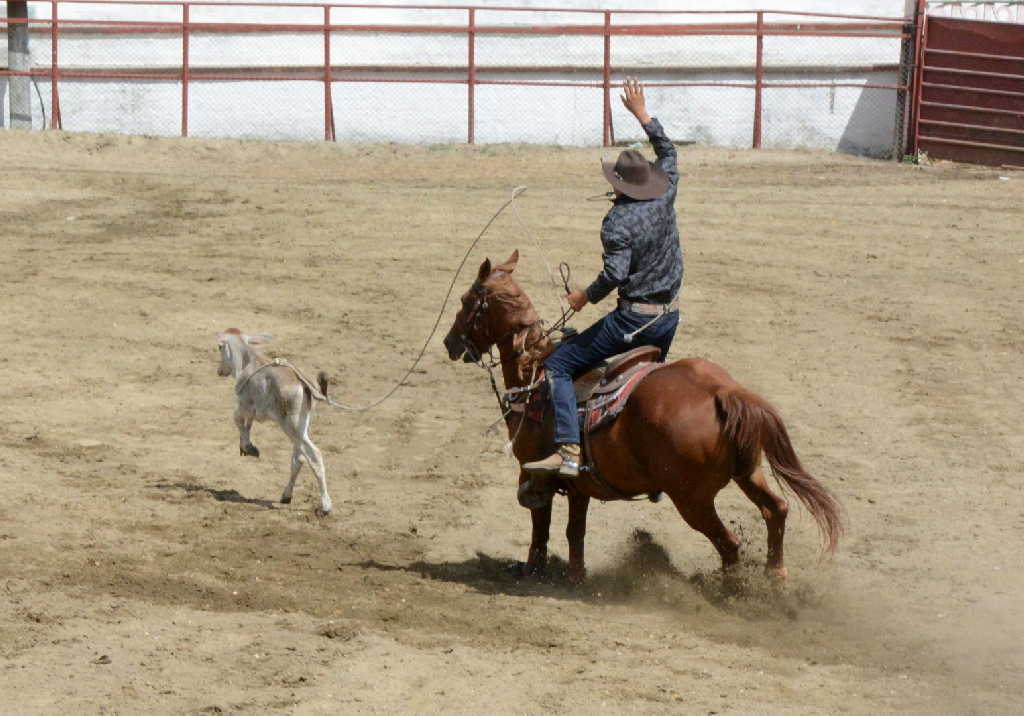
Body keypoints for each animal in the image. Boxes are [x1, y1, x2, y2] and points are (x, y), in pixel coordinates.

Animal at [216, 329, 331, 516]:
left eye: (219, 348)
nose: (220, 370)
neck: (248, 361)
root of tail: (303, 383)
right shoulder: (251, 410)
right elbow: (248, 425)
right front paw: (247, 447)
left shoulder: (243, 406)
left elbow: (238, 420)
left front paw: (248, 448)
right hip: (302, 427)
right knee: (298, 459)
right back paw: (286, 496)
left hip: (291, 426)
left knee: (314, 456)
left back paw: (326, 506)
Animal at [444, 250, 843, 581]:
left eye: (466, 300)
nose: (450, 343)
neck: (536, 372)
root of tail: (720, 391)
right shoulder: (579, 486)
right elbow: (575, 531)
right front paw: (576, 577)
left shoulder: (533, 472)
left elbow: (539, 524)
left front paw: (532, 571)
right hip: (747, 472)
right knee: (776, 510)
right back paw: (775, 576)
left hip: (693, 499)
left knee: (729, 544)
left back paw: (732, 592)